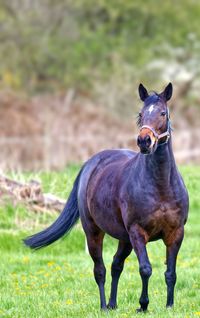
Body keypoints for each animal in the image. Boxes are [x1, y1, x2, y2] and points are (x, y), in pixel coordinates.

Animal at [23, 82, 189, 314]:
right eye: (140, 114)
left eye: (163, 113)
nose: (144, 141)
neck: (161, 187)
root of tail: (92, 163)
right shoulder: (138, 233)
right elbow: (145, 269)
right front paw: (143, 305)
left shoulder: (175, 233)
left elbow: (170, 273)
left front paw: (169, 306)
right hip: (94, 232)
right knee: (100, 269)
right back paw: (103, 306)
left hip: (124, 239)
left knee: (115, 265)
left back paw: (112, 303)